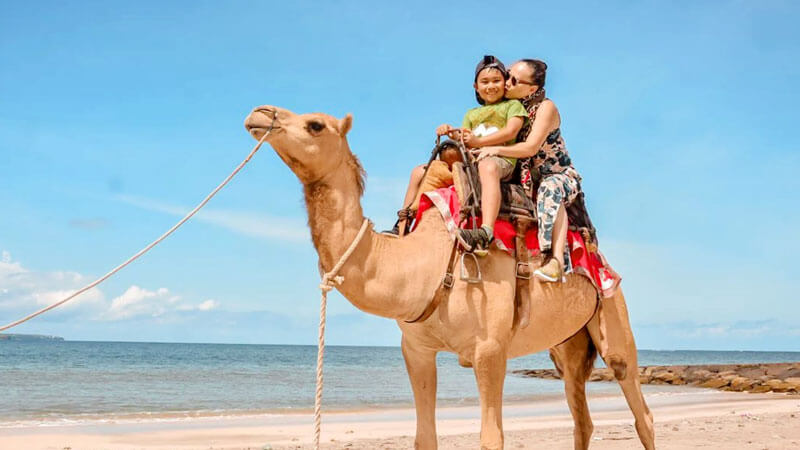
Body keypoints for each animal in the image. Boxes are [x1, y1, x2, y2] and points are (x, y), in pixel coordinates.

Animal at [245, 106, 656, 450]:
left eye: (315, 124)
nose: (260, 114)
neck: (424, 264)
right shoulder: (416, 349)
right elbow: (424, 438)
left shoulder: (490, 349)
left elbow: (491, 439)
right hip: (565, 346)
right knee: (581, 416)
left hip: (613, 311)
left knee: (639, 405)